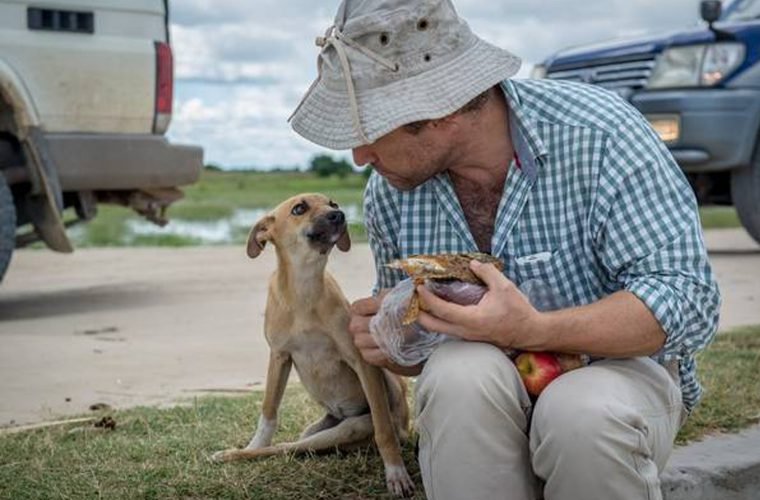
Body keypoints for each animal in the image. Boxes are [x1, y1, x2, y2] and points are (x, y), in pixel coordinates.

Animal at [211, 192, 416, 496]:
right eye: (299, 208)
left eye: (332, 203)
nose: (340, 215)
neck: (303, 291)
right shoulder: (279, 356)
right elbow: (269, 410)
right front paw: (254, 442)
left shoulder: (360, 360)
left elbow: (383, 429)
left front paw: (395, 472)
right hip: (316, 430)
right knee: (286, 447)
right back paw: (237, 453)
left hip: (352, 425)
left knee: (290, 447)